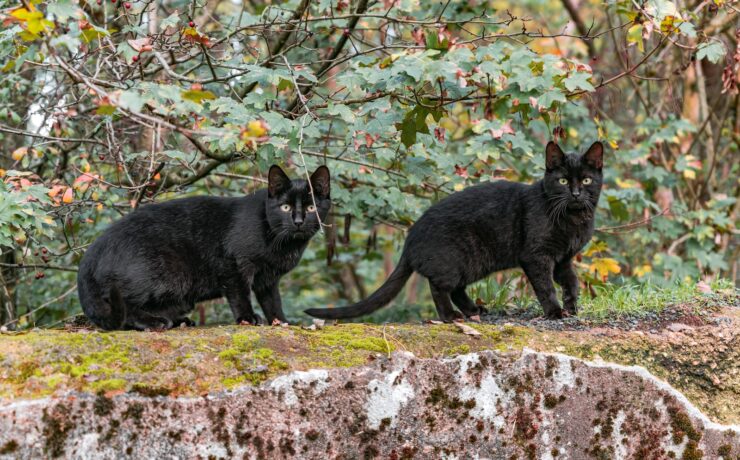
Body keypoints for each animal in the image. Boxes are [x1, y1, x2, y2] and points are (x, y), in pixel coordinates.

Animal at [78, 165, 330, 330]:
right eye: (286, 207)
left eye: (311, 208)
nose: (298, 221)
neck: (282, 243)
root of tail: (92, 252)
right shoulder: (234, 265)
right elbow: (240, 294)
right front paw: (247, 318)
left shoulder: (267, 278)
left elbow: (273, 302)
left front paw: (282, 322)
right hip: (163, 275)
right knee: (125, 307)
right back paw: (154, 323)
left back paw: (179, 321)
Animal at [306, 142, 600, 322]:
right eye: (562, 180)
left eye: (586, 179)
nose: (576, 193)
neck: (574, 219)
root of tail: (411, 237)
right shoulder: (537, 256)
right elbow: (545, 285)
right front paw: (555, 311)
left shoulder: (563, 258)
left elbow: (571, 281)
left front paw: (572, 307)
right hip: (457, 260)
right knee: (438, 287)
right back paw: (451, 316)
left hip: (471, 263)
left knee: (456, 289)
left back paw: (474, 310)